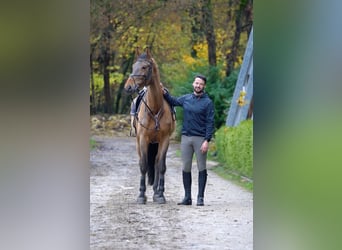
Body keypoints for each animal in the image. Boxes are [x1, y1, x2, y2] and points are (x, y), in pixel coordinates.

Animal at [124, 47, 175, 203]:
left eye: (144, 67)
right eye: (133, 66)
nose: (128, 87)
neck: (155, 108)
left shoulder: (164, 139)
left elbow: (161, 166)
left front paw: (160, 194)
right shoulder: (143, 139)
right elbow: (143, 165)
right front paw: (141, 195)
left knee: (157, 163)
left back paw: (156, 192)